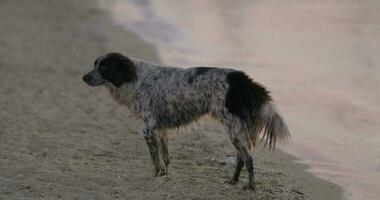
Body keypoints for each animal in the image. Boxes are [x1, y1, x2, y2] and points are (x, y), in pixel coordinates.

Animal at [84, 52, 290, 190]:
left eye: (103, 67)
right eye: (95, 64)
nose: (84, 77)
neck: (135, 78)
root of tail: (240, 78)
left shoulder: (149, 129)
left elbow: (155, 159)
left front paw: (156, 176)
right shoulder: (160, 129)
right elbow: (165, 157)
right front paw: (164, 176)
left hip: (233, 127)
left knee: (248, 158)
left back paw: (250, 186)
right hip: (235, 129)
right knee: (240, 157)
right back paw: (233, 181)